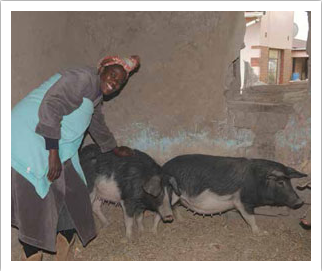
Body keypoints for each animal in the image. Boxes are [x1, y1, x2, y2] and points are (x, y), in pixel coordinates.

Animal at [161, 155, 306, 236]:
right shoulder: (243, 201)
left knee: (174, 207)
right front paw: (262, 233)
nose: (300, 202)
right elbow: (250, 218)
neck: (257, 181)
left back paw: (182, 220)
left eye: (290, 181)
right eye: (281, 182)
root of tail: (163, 167)